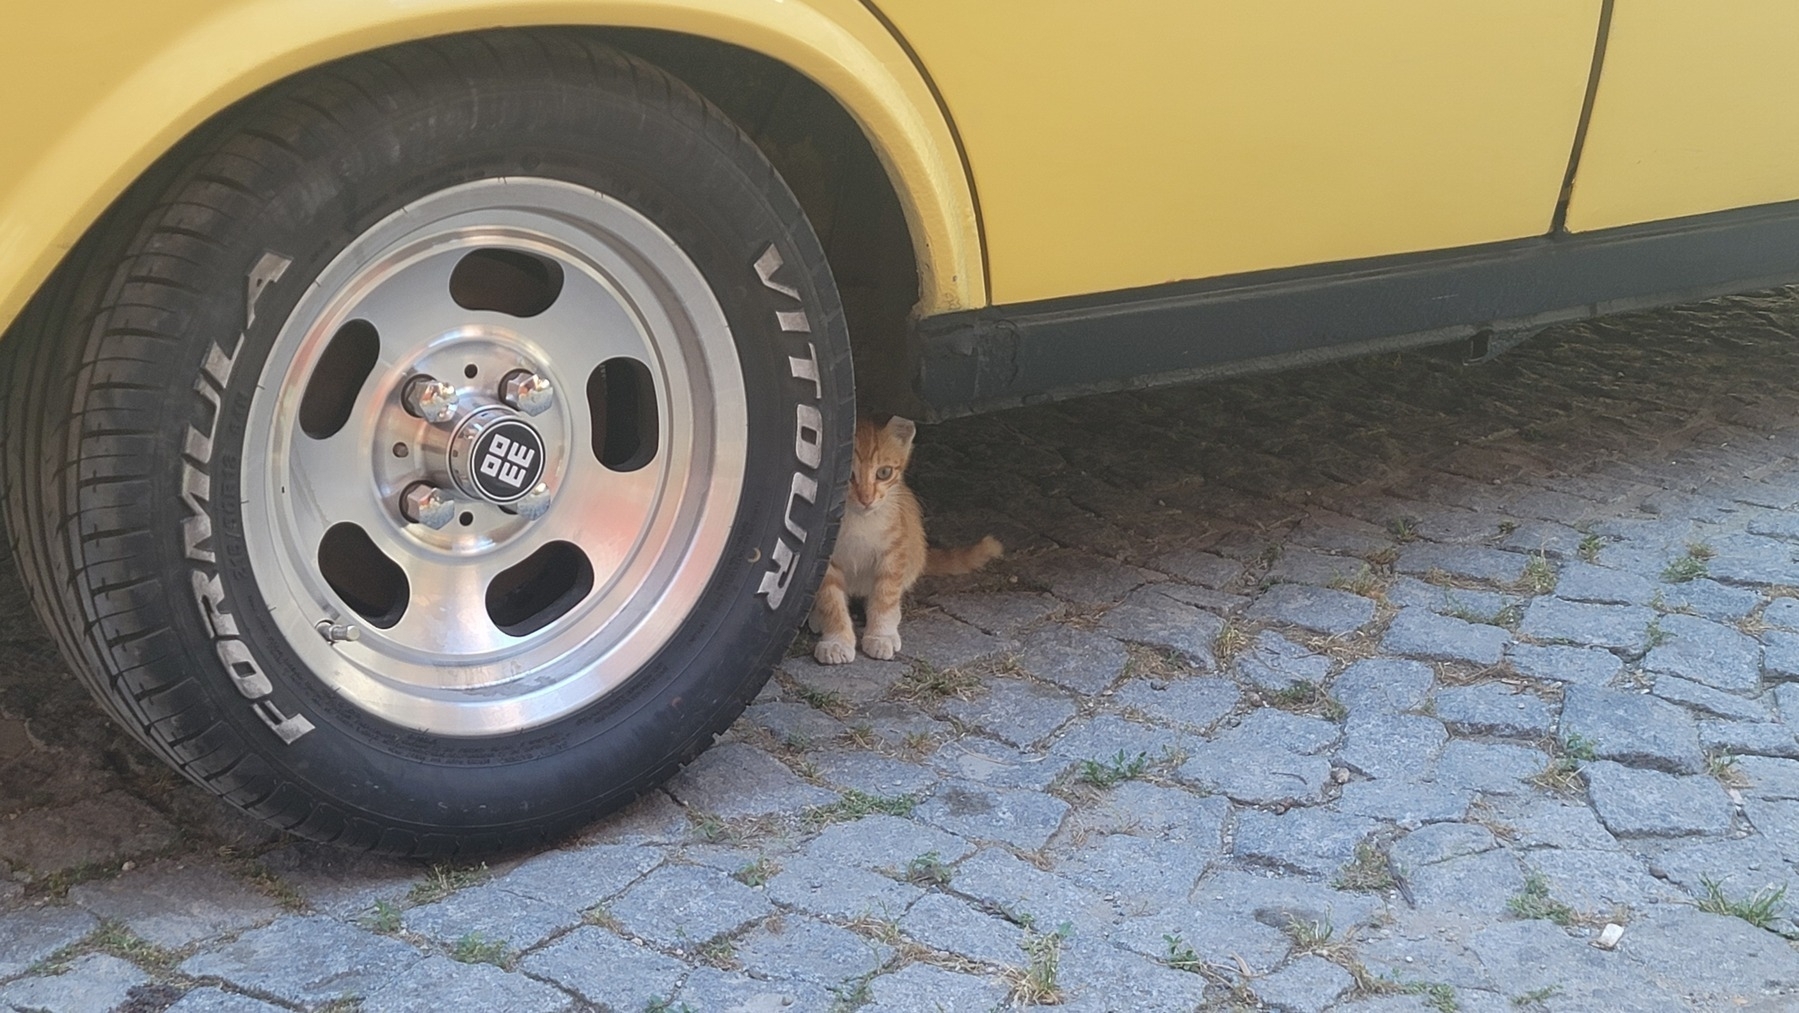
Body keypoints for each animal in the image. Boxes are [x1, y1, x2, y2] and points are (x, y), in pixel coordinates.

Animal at [813, 417, 1007, 665]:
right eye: (848, 476)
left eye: (884, 472)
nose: (867, 499)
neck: (859, 520)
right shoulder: (825, 555)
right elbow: (831, 600)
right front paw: (837, 640)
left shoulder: (895, 550)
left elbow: (886, 595)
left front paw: (881, 635)